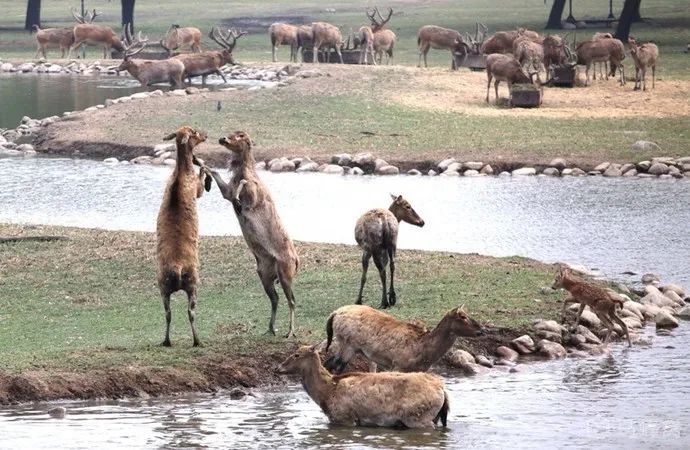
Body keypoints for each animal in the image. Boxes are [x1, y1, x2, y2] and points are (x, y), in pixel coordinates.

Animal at [202, 130, 298, 338]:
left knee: (292, 300)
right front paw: (204, 170)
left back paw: (290, 332)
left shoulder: (252, 196)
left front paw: (239, 200)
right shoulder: (227, 191)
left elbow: (244, 186)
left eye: (240, 136)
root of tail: (297, 262)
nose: (223, 138)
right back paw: (270, 329)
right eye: (231, 133)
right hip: (264, 274)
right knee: (275, 298)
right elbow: (217, 174)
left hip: (285, 272)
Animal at [276, 344, 448, 428]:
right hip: (434, 417)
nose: (278, 367)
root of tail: (443, 391)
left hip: (418, 417)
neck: (326, 394)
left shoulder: (344, 418)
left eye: (297, 355)